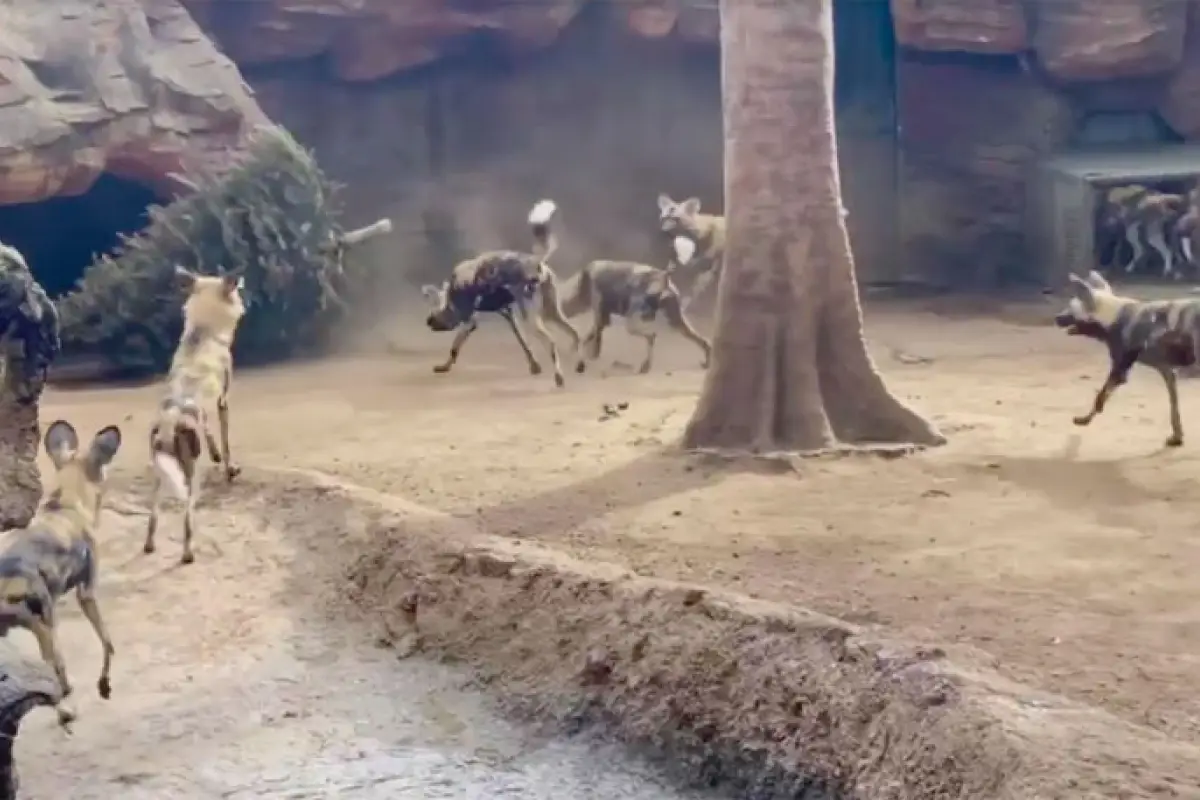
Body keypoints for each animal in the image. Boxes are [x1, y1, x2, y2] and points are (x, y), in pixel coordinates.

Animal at [0, 422, 123, 729]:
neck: (65, 503)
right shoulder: (87, 592)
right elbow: (108, 643)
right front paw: (104, 685)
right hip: (46, 628)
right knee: (57, 675)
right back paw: (67, 709)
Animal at [144, 267, 247, 563]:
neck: (205, 331)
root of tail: (170, 421)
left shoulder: (208, 413)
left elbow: (213, 438)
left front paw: (216, 455)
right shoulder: (224, 403)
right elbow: (226, 444)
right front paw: (229, 470)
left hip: (160, 476)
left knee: (152, 517)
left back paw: (150, 545)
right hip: (192, 478)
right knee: (187, 520)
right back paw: (189, 552)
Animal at [424, 199, 583, 388]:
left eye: (435, 312)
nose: (427, 321)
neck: (452, 293)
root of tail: (533, 262)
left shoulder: (470, 321)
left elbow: (454, 348)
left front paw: (445, 366)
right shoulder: (509, 315)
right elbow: (524, 344)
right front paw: (534, 366)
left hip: (533, 319)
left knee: (551, 342)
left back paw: (559, 377)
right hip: (551, 313)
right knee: (575, 333)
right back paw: (580, 365)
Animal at [561, 231, 710, 376]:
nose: (561, 311)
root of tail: (664, 276)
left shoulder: (600, 316)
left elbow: (591, 340)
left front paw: (585, 358)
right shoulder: (603, 318)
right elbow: (589, 338)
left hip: (633, 323)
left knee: (651, 336)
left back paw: (645, 366)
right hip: (677, 322)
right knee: (703, 341)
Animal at [1056, 271, 1195, 448]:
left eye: (1070, 309)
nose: (1056, 318)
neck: (1114, 316)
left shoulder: (1119, 371)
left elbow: (1099, 398)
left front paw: (1086, 419)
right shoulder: (1167, 371)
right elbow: (1174, 406)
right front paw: (1177, 436)